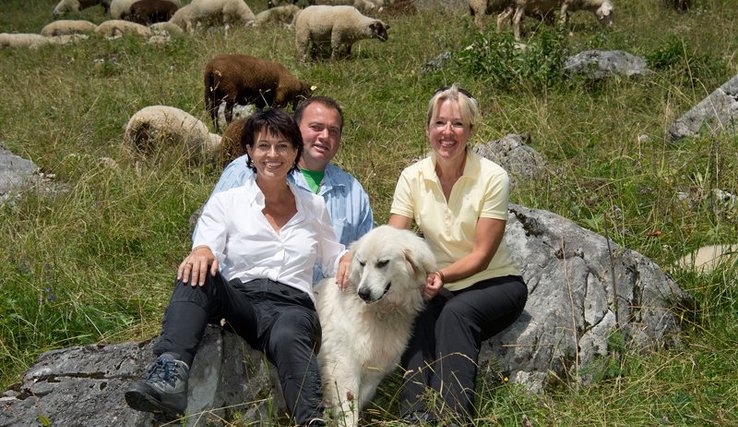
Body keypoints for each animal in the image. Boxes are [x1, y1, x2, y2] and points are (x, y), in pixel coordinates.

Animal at [314, 226, 434, 426]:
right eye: (362, 263)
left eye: (382, 263)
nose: (363, 293)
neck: (383, 312)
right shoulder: (344, 368)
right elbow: (349, 411)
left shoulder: (374, 371)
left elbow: (357, 402)